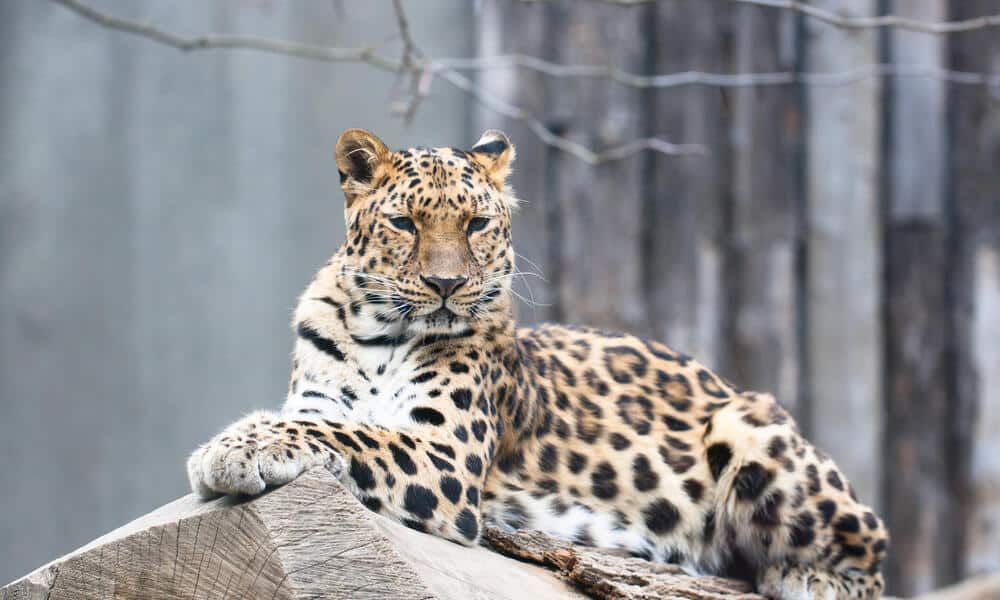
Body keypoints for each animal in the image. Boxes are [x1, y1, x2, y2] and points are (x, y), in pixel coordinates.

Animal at [187, 128, 888, 600]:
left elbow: (348, 432)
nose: (447, 285)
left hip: (751, 427)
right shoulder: (328, 400)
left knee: (873, 549)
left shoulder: (446, 454)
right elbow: (327, 420)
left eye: (475, 224)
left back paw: (804, 577)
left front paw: (231, 448)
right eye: (405, 223)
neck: (378, 335)